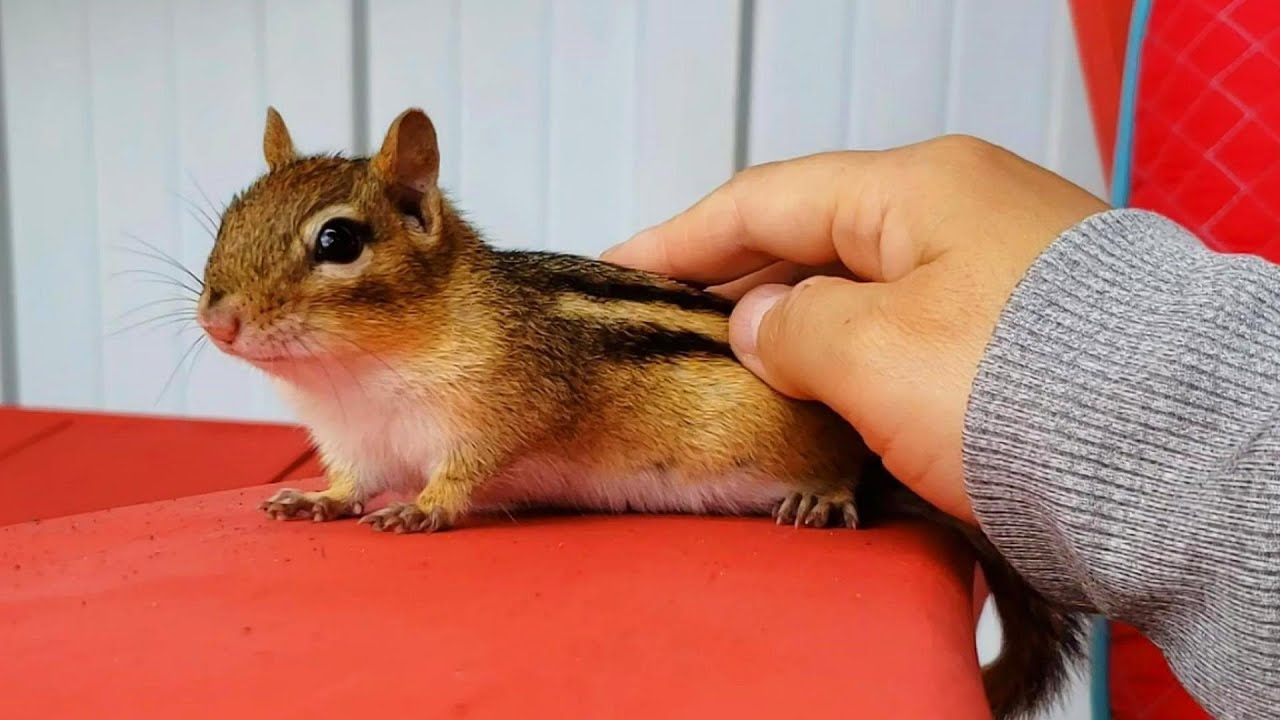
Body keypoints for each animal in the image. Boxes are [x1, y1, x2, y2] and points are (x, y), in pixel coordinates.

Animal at [196, 106, 1085, 720]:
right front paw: (315, 501)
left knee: (849, 475)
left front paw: (423, 510)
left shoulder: (498, 407)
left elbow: (463, 473)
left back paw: (825, 498)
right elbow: (350, 483)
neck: (355, 377)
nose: (217, 321)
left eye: (338, 241)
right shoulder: (353, 441)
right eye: (228, 220)